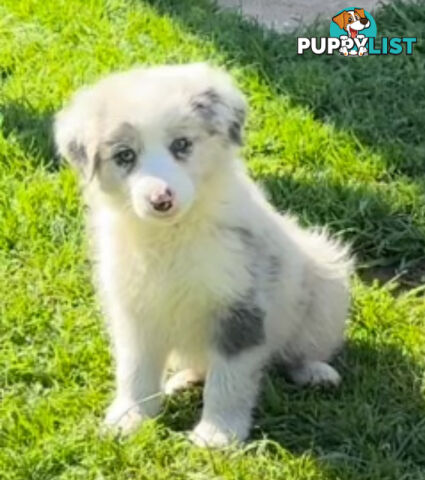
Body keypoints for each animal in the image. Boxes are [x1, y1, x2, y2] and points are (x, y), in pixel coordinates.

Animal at [53, 62, 352, 446]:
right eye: (125, 156)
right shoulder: (134, 309)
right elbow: (134, 370)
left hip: (326, 289)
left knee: (297, 350)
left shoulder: (239, 306)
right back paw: (183, 381)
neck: (171, 236)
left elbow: (228, 381)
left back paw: (316, 373)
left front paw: (216, 436)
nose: (161, 200)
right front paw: (128, 419)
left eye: (181, 145)